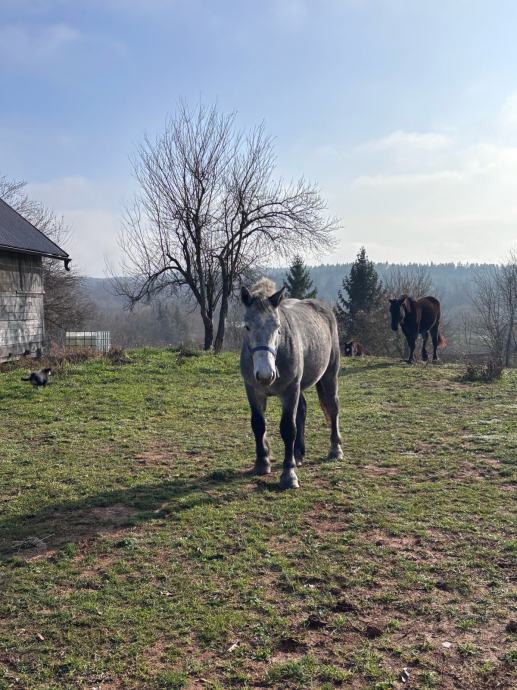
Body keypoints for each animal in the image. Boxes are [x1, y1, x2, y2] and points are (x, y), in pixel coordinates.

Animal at [240, 278, 343, 489]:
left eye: (277, 327)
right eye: (247, 326)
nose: (265, 375)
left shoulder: (289, 391)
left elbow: (288, 428)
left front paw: (289, 474)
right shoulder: (253, 391)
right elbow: (258, 425)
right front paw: (262, 462)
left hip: (329, 376)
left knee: (333, 407)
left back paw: (335, 449)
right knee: (302, 409)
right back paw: (298, 453)